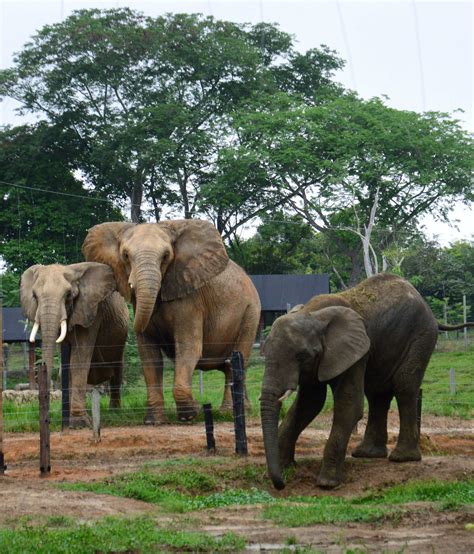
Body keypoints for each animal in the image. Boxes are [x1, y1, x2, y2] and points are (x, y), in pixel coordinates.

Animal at [20, 260, 129, 424]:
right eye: (34, 296)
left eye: (68, 295)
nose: (47, 421)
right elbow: (66, 363)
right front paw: (68, 419)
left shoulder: (91, 311)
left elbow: (78, 358)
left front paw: (79, 422)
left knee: (117, 370)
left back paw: (114, 413)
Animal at [80, 218, 260, 420]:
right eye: (125, 255)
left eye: (166, 256)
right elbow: (149, 354)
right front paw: (153, 420)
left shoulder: (190, 299)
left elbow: (188, 348)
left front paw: (191, 413)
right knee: (233, 365)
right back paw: (244, 410)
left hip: (250, 314)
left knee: (236, 362)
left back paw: (228, 413)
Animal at [262, 272, 474, 488]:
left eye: (301, 356)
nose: (281, 484)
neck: (313, 314)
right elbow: (309, 404)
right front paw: (286, 467)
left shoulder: (356, 351)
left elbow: (349, 404)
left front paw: (327, 484)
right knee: (377, 393)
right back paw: (368, 454)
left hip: (422, 335)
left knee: (404, 386)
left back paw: (402, 458)